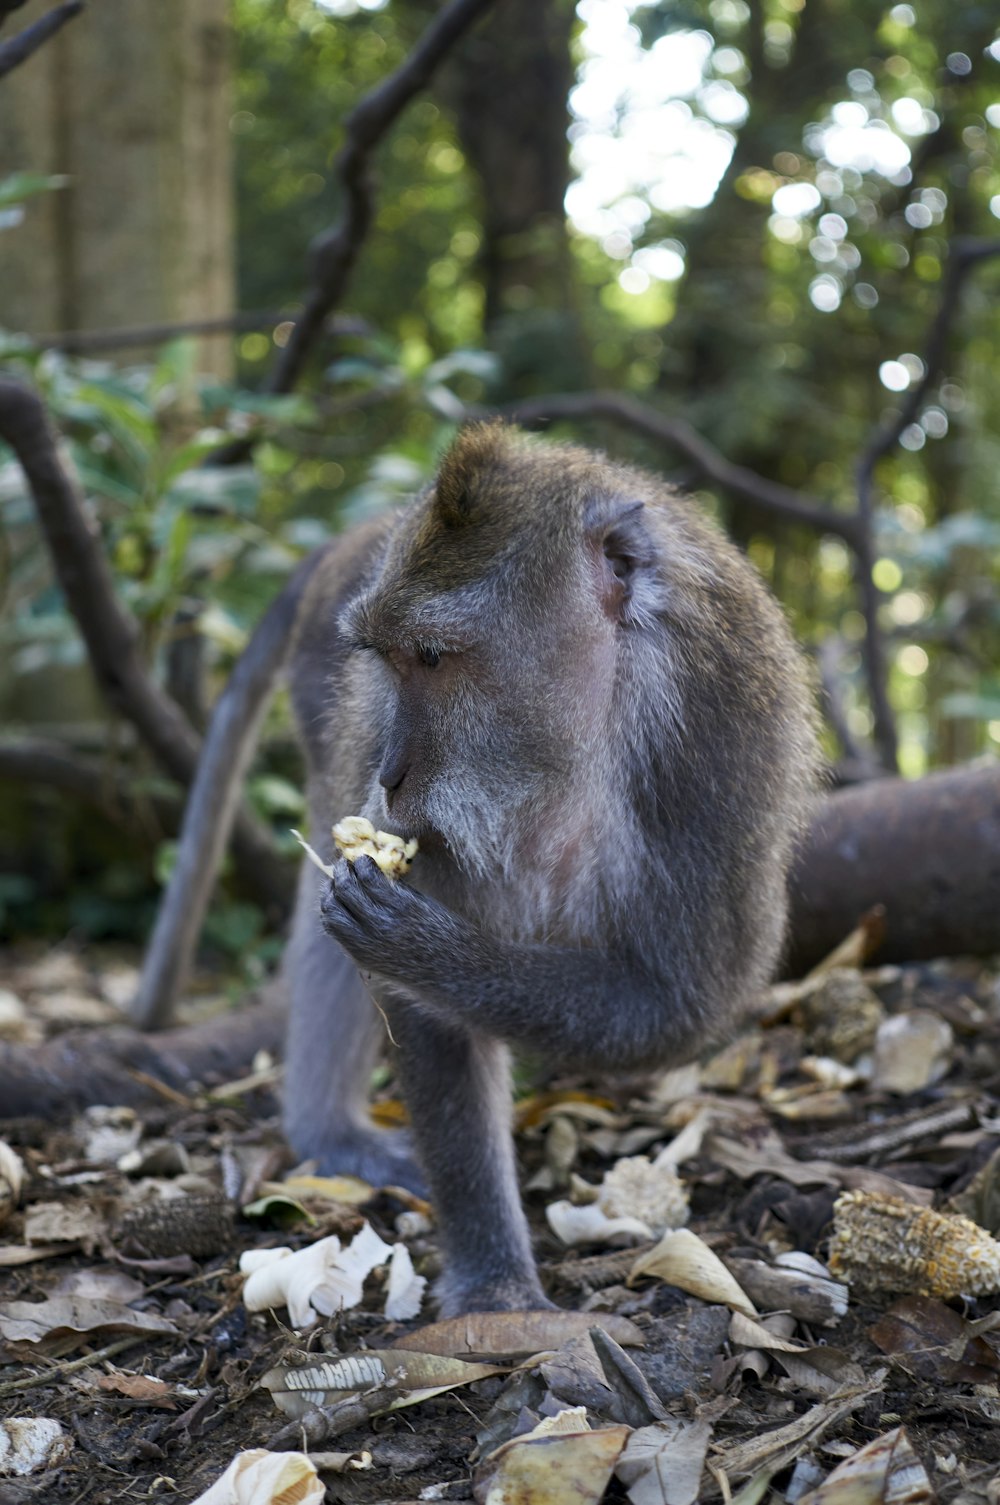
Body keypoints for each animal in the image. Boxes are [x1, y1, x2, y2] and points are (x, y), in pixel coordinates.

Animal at [134, 424, 819, 1318]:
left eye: (432, 656)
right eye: (385, 659)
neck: (584, 733)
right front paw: (495, 1278)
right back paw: (329, 1133)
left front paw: (423, 948)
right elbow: (425, 1013)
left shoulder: (718, 747)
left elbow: (680, 1006)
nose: (392, 773)